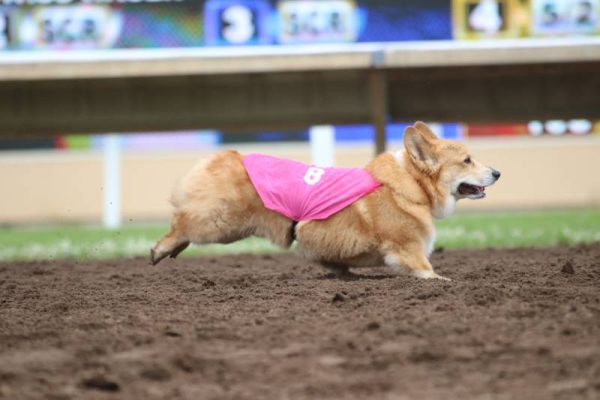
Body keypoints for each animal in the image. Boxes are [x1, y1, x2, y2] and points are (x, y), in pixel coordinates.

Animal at [152, 122, 500, 282]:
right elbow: (429, 273)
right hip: (222, 222)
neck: (411, 184)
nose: (497, 172)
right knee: (182, 222)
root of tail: (227, 154)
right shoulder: (408, 251)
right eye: (467, 160)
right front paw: (446, 281)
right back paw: (160, 248)